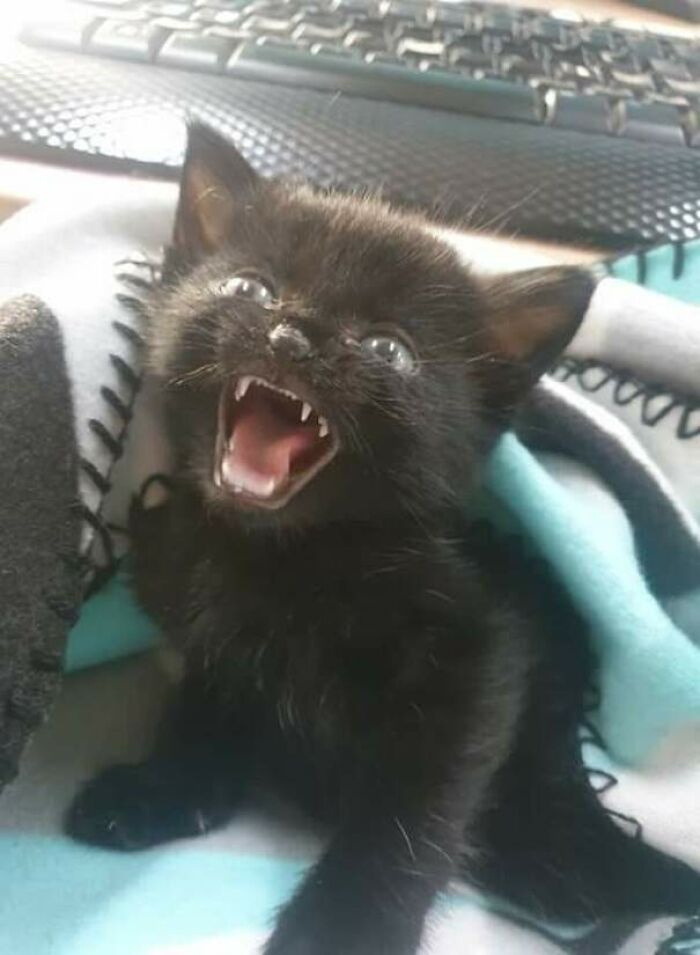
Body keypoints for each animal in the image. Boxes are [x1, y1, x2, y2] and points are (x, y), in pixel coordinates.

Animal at [68, 125, 700, 948]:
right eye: (250, 290)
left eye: (388, 351)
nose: (291, 336)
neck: (279, 562)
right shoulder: (209, 630)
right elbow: (203, 708)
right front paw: (161, 788)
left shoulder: (481, 656)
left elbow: (412, 814)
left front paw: (340, 925)